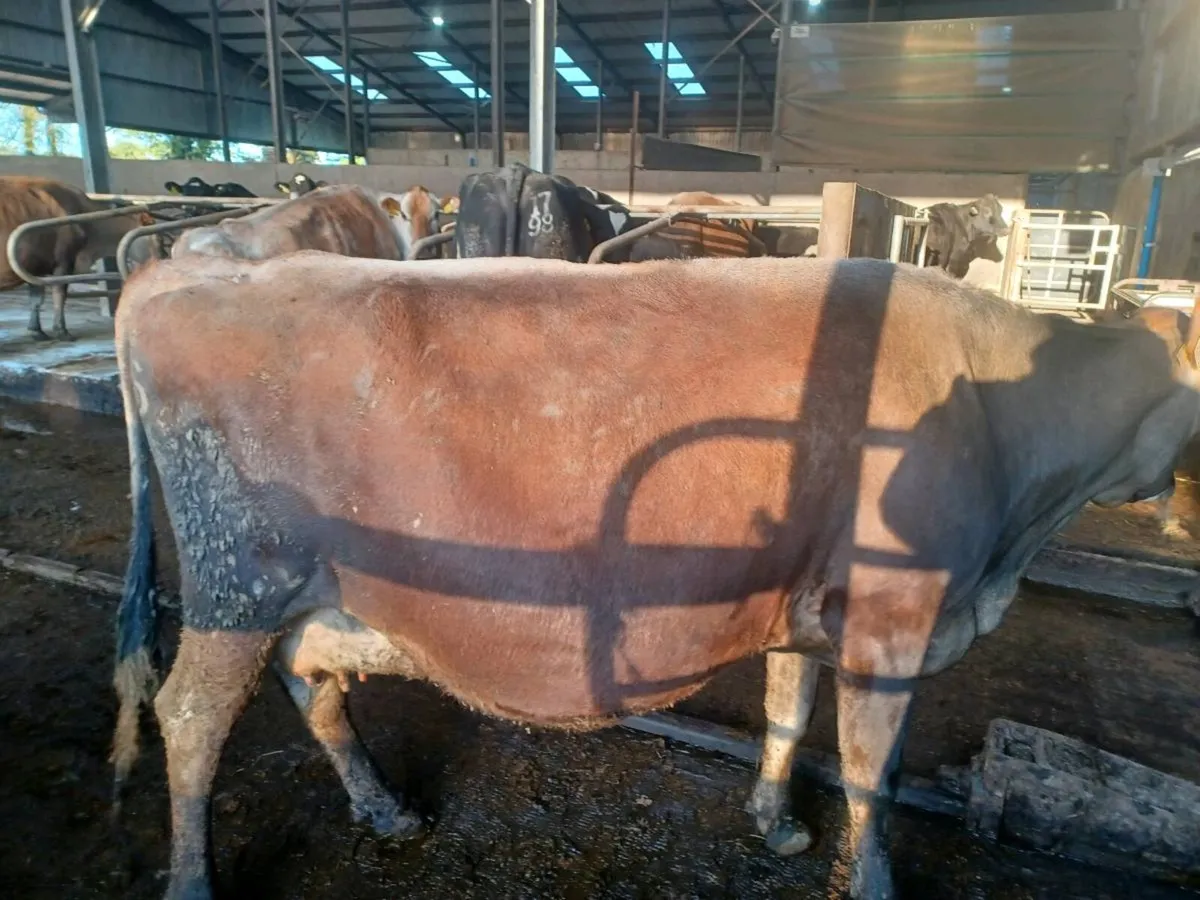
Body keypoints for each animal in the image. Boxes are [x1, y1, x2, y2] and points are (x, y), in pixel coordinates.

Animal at [0, 176, 151, 340]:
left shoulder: (34, 266)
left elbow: (36, 300)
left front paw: (36, 331)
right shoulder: (64, 260)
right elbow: (60, 294)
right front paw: (62, 331)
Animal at [110, 252, 1200, 900]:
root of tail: (190, 263)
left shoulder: (808, 599)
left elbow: (788, 714)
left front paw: (775, 824)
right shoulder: (894, 614)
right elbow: (870, 774)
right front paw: (870, 882)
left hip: (307, 587)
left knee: (312, 685)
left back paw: (383, 808)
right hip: (236, 576)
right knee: (192, 716)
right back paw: (195, 880)